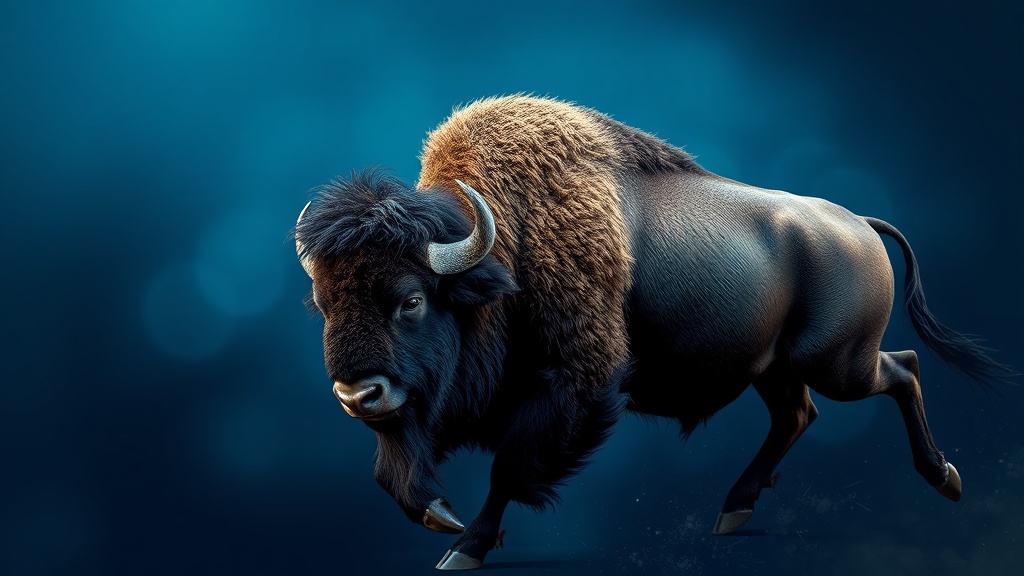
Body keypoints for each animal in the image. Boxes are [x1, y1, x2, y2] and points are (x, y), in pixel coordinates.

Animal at [292, 95, 1014, 570]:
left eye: (411, 300)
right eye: (322, 303)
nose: (357, 394)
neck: (506, 246)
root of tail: (860, 223)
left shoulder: (572, 385)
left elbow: (509, 467)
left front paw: (465, 547)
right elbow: (392, 469)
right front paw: (439, 517)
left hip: (837, 362)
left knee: (903, 369)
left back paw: (945, 478)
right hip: (776, 367)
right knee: (797, 414)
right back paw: (733, 510)